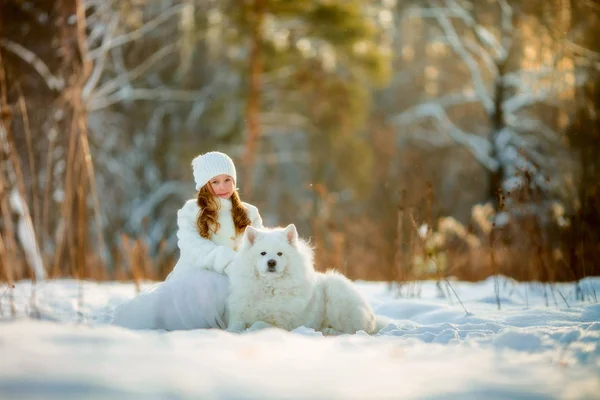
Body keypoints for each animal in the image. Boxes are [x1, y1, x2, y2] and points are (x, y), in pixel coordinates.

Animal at [227, 223, 378, 332]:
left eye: (280, 253)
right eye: (263, 253)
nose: (271, 262)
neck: (271, 288)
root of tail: (371, 316)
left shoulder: (282, 322)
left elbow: (260, 324)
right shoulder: (239, 314)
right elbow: (236, 324)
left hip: (336, 293)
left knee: (352, 330)